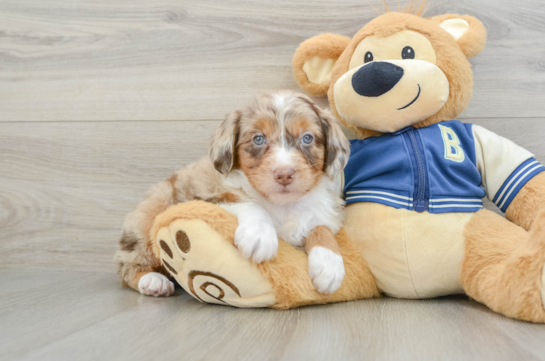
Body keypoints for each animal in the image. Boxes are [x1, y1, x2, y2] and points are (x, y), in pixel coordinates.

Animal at [117, 89, 350, 296]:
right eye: (258, 139)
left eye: (307, 138)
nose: (284, 174)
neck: (282, 204)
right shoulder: (207, 199)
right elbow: (247, 202)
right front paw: (260, 235)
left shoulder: (320, 213)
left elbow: (320, 228)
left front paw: (329, 264)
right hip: (148, 216)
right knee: (126, 266)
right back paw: (152, 280)